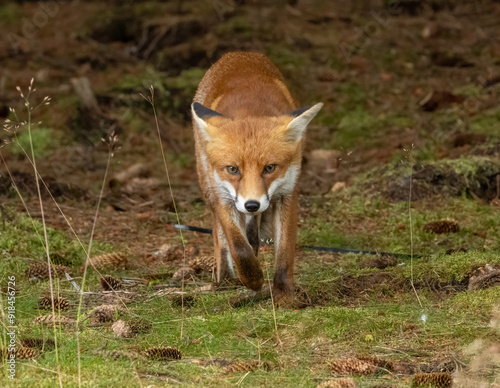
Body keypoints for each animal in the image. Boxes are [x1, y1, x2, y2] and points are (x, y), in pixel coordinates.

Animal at [191, 51, 324, 306]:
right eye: (233, 169)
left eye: (270, 168)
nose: (251, 204)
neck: (250, 109)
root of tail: (239, 54)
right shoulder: (224, 195)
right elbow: (238, 247)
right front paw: (252, 279)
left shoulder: (286, 194)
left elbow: (285, 254)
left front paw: (284, 296)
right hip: (208, 187)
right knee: (220, 236)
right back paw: (224, 278)